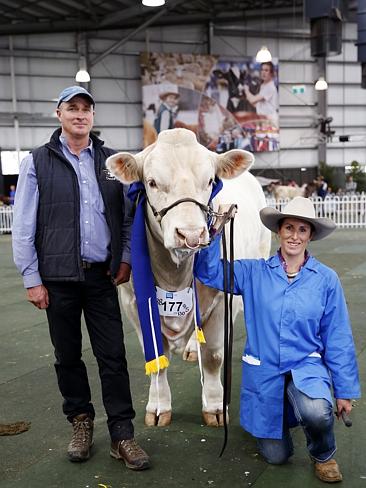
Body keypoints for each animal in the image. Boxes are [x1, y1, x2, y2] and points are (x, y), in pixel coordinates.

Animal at [104, 129, 270, 428]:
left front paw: (215, 407)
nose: (191, 234)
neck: (175, 276)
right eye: (152, 182)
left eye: (210, 181)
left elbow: (213, 355)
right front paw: (159, 406)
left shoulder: (222, 300)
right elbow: (156, 358)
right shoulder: (133, 303)